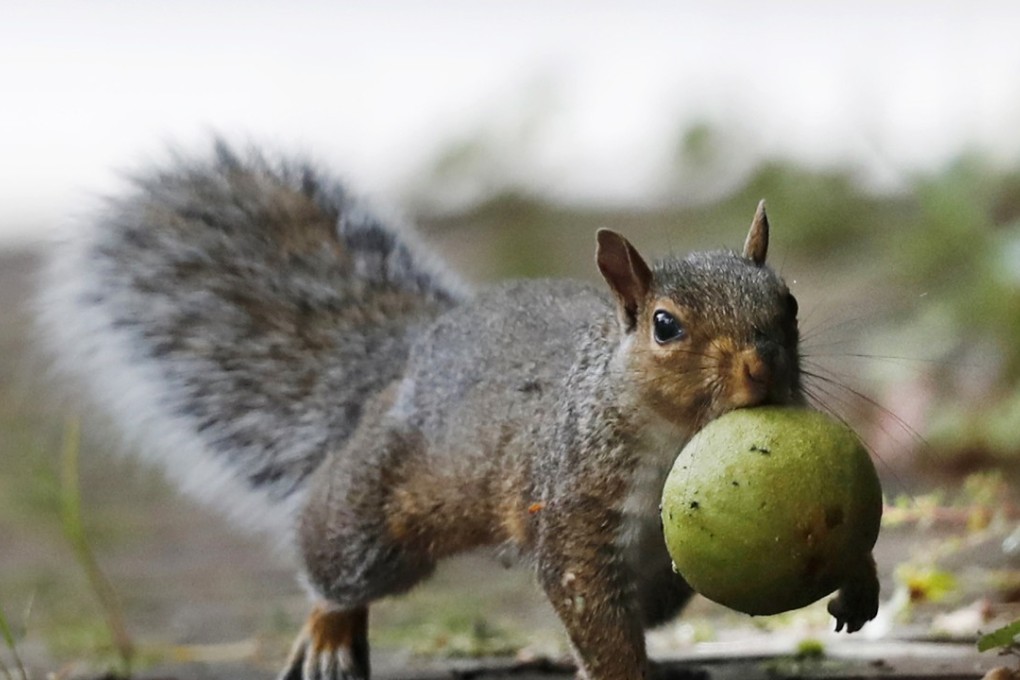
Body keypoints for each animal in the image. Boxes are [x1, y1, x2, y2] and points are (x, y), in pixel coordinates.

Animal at [38, 142, 879, 680]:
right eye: (665, 325)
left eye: (788, 302)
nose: (763, 366)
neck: (677, 435)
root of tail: (412, 356)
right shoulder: (575, 496)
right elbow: (586, 602)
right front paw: (623, 675)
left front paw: (858, 584)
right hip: (377, 514)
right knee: (332, 559)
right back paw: (329, 631)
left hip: (662, 582)